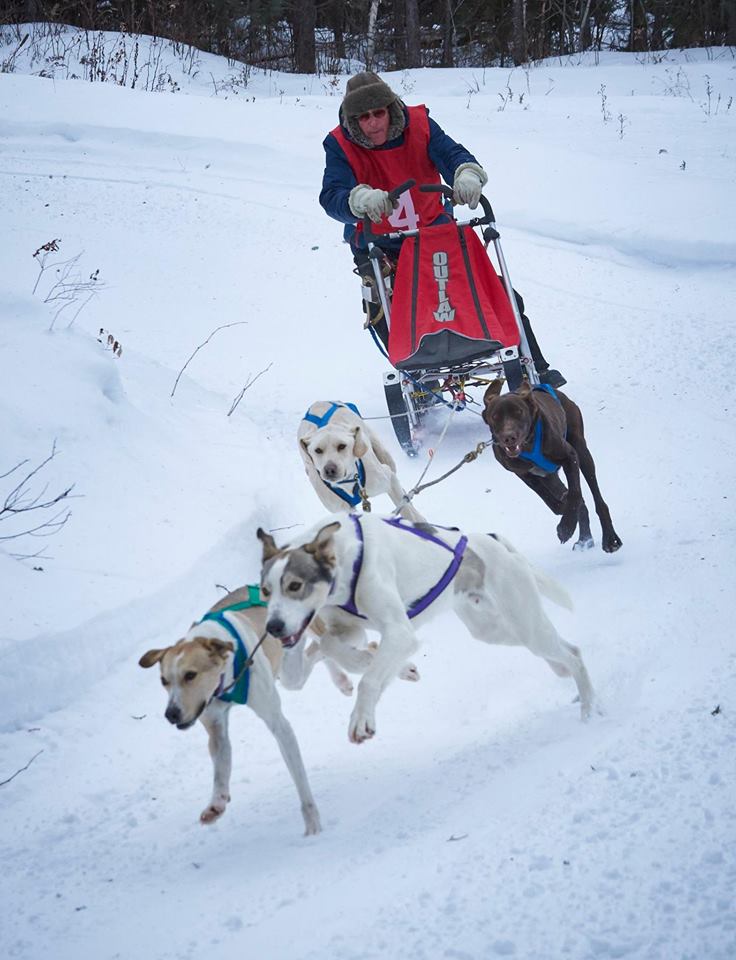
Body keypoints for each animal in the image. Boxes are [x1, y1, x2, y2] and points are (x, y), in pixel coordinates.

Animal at [138, 585, 321, 835]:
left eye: (190, 675)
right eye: (164, 681)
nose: (171, 714)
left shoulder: (278, 724)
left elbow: (300, 778)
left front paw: (313, 824)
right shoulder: (215, 724)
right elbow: (220, 767)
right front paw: (217, 802)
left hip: (297, 659)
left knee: (323, 649)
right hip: (288, 672)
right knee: (313, 656)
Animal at [257, 513, 596, 745]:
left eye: (294, 585)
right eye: (265, 591)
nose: (273, 627)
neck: (347, 560)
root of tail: (491, 538)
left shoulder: (399, 632)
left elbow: (368, 680)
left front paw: (362, 717)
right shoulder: (349, 629)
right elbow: (335, 647)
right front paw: (378, 663)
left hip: (526, 624)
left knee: (574, 655)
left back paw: (589, 709)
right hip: (492, 630)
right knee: (566, 651)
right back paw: (566, 676)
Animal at [482, 381, 622, 553]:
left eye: (519, 412)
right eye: (495, 416)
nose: (509, 437)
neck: (528, 445)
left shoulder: (570, 457)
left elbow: (575, 494)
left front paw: (566, 526)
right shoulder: (524, 474)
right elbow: (550, 500)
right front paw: (564, 508)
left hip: (582, 451)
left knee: (597, 497)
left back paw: (610, 538)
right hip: (550, 476)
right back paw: (584, 538)